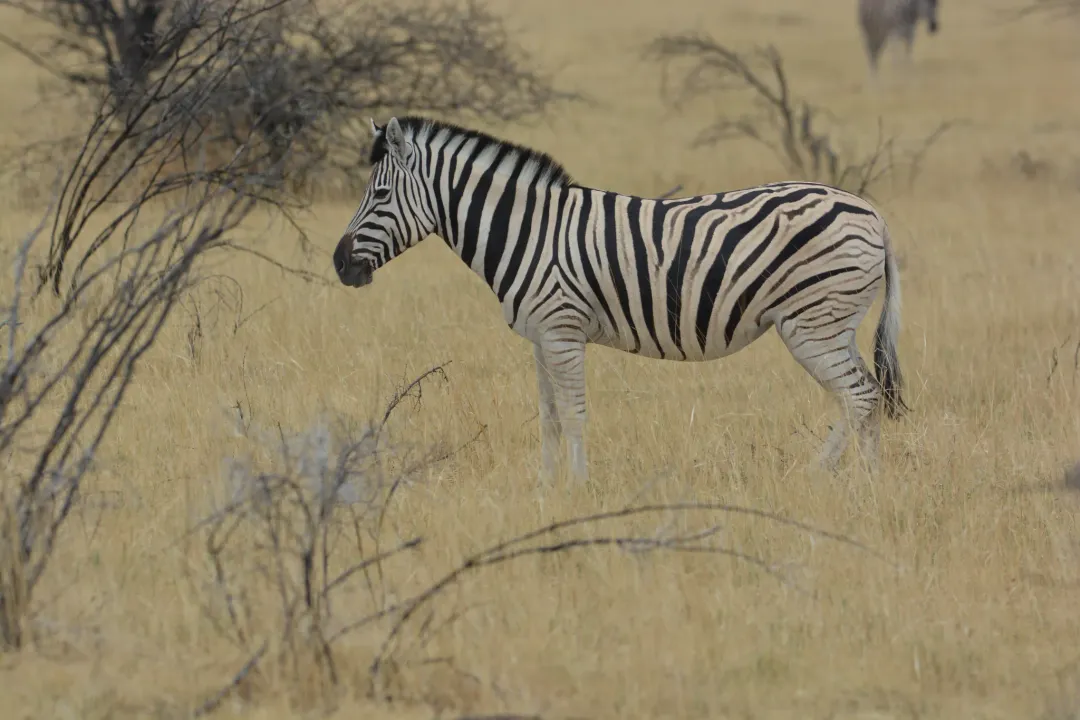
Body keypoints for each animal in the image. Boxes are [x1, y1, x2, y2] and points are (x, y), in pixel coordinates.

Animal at [334, 116, 908, 485]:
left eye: (379, 195)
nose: (340, 264)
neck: (528, 232)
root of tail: (872, 213)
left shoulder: (562, 332)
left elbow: (574, 414)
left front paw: (578, 489)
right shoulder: (540, 338)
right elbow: (548, 416)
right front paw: (546, 489)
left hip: (813, 324)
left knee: (859, 397)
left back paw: (820, 478)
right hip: (835, 325)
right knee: (868, 395)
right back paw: (869, 485)